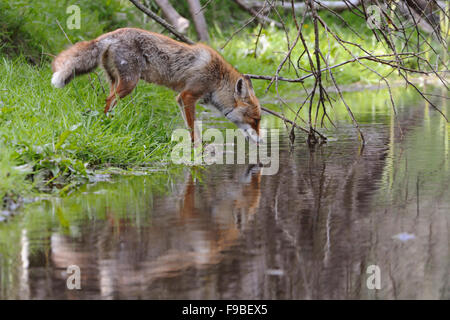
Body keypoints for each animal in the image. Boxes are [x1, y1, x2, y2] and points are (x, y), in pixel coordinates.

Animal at [51, 27, 262, 142]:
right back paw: (106, 123)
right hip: (129, 83)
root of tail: (111, 34)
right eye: (255, 120)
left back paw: (109, 121)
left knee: (107, 99)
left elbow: (192, 128)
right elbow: (193, 130)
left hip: (115, 81)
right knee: (109, 100)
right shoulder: (187, 96)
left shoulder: (181, 99)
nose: (262, 140)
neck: (217, 79)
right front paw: (197, 151)